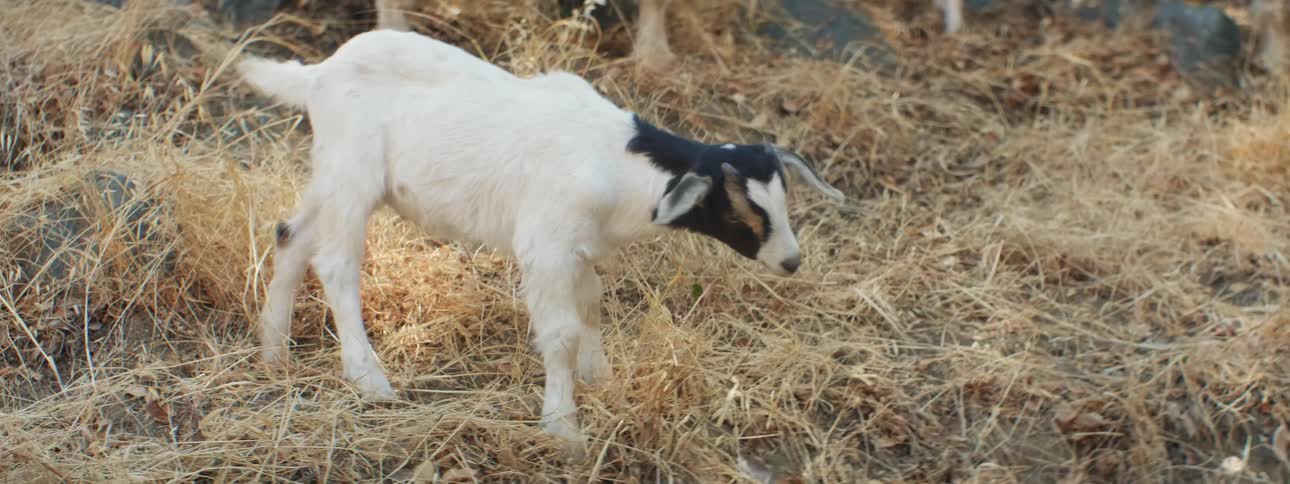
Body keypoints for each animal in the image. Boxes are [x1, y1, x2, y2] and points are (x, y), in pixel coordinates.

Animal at [237, 29, 845, 456]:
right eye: (743, 208)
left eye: (783, 197)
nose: (791, 261)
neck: (617, 161)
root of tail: (318, 75)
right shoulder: (545, 245)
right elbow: (562, 333)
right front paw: (564, 427)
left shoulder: (578, 248)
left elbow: (592, 305)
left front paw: (600, 379)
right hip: (354, 173)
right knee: (335, 262)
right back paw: (369, 379)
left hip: (333, 174)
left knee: (290, 235)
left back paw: (273, 354)